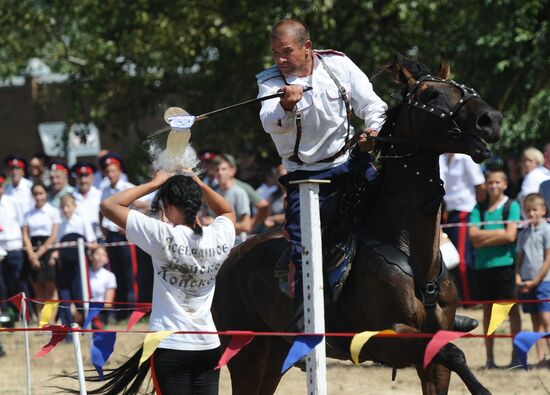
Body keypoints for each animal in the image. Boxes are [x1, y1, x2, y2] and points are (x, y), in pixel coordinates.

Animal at [212, 56, 504, 395]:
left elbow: (449, 353)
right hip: (247, 355)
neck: (409, 250)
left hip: (275, 355)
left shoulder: (432, 361)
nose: (491, 119)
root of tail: (229, 260)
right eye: (431, 94)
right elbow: (453, 351)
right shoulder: (380, 340)